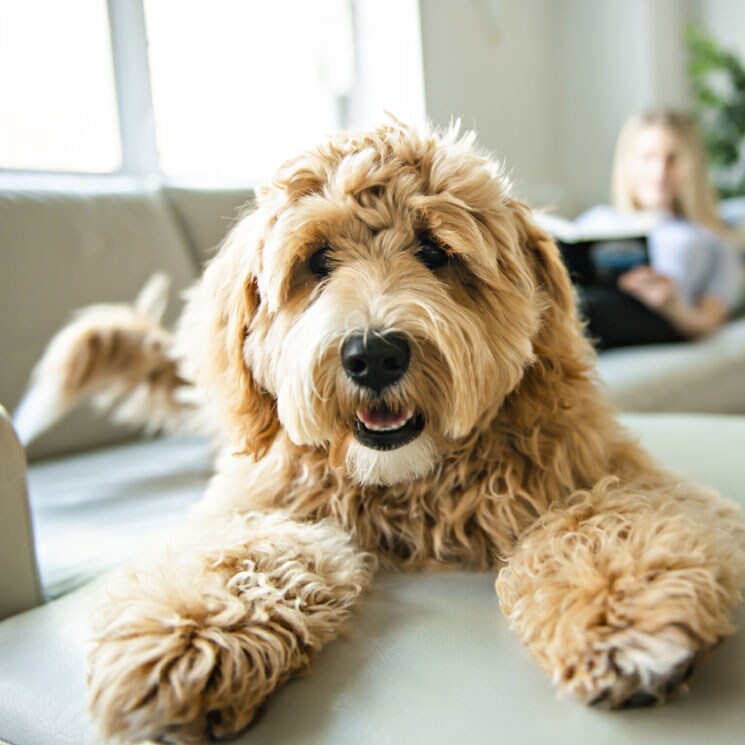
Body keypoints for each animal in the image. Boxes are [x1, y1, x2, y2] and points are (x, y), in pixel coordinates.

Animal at [17, 123, 744, 744]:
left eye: (435, 252)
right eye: (317, 261)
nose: (373, 355)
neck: (409, 485)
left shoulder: (607, 472)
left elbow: (602, 519)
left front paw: (625, 612)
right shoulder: (258, 504)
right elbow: (240, 553)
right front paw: (186, 641)